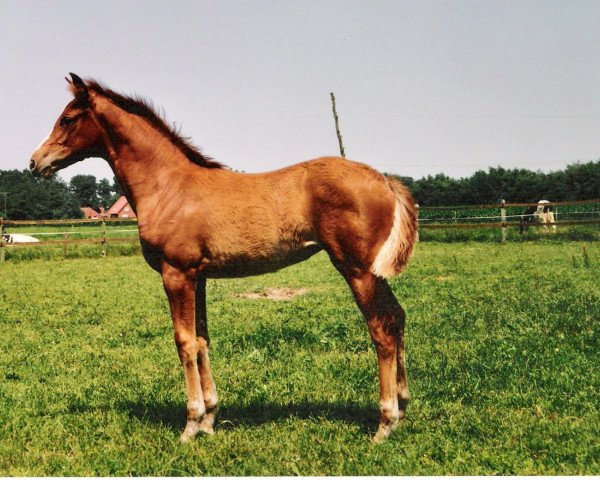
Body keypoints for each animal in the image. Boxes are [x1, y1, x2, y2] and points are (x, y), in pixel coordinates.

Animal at [29, 74, 418, 442]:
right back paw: (402, 406)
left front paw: (190, 425)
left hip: (357, 270)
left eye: (67, 119)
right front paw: (209, 420)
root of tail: (384, 179)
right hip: (374, 273)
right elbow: (202, 341)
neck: (168, 187)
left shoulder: (176, 274)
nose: (35, 162)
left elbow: (184, 343)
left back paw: (384, 422)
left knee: (381, 328)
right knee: (397, 317)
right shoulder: (197, 277)